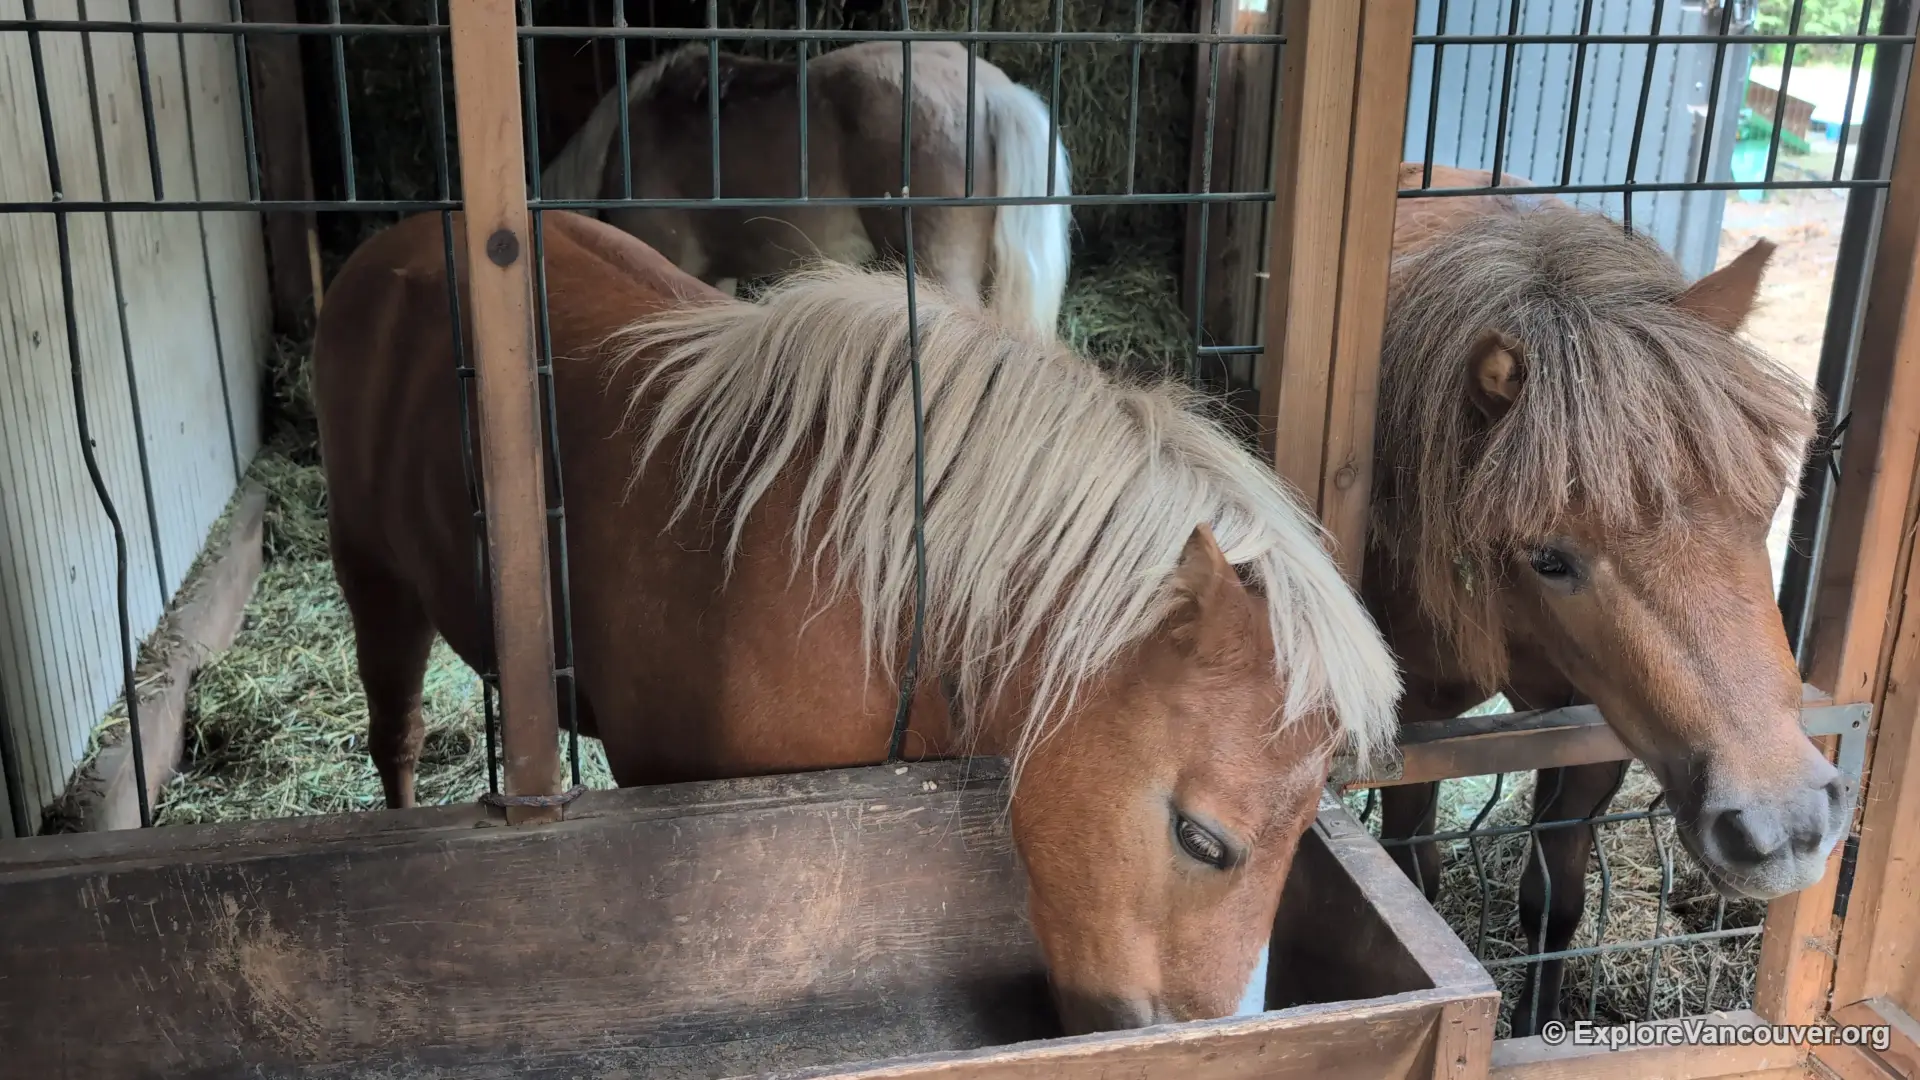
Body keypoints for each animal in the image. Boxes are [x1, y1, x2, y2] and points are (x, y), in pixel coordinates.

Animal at [1369, 163, 1843, 1034]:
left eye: (1766, 501)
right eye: (1548, 558)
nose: (1784, 826)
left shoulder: (1597, 733)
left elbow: (1554, 903)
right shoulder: (1411, 729)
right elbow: (1411, 869)